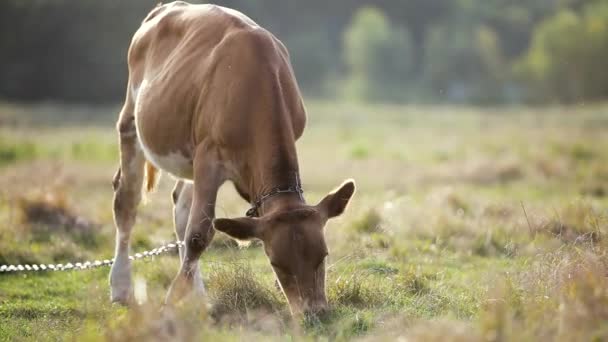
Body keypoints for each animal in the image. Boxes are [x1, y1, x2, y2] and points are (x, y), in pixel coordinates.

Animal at [110, 2, 356, 316]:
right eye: (276, 263)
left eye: (323, 255)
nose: (315, 313)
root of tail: (165, 7)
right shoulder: (208, 157)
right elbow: (198, 234)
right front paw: (171, 301)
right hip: (131, 121)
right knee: (127, 203)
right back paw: (120, 287)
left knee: (180, 209)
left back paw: (197, 296)